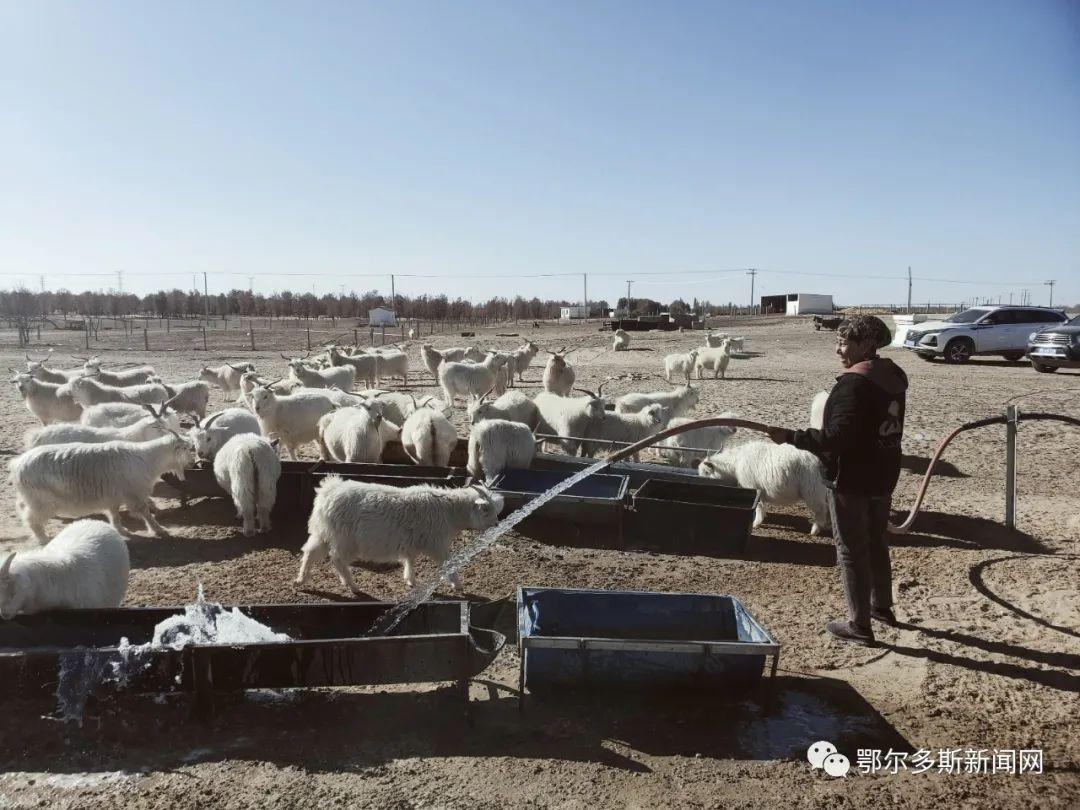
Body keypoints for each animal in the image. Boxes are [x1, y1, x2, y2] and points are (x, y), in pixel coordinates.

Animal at [8, 434, 197, 542]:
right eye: (189, 449)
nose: (195, 464)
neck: (148, 459)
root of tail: (17, 464)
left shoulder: (114, 497)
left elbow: (114, 514)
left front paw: (121, 530)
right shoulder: (134, 494)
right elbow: (145, 513)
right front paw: (159, 530)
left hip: (30, 498)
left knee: (22, 508)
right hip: (42, 502)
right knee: (32, 519)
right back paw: (43, 538)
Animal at [295, 479, 505, 591]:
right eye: (485, 509)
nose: (496, 524)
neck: (449, 511)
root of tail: (327, 492)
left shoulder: (412, 544)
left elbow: (409, 560)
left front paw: (410, 580)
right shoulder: (436, 544)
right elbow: (448, 562)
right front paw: (457, 584)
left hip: (323, 533)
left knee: (310, 552)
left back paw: (301, 579)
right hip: (344, 539)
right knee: (337, 559)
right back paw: (351, 584)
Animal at [695, 440, 829, 535]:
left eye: (706, 472)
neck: (735, 463)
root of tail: (819, 462)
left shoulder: (754, 487)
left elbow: (758, 506)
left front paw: (756, 523)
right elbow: (762, 506)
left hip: (812, 491)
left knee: (821, 510)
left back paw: (815, 530)